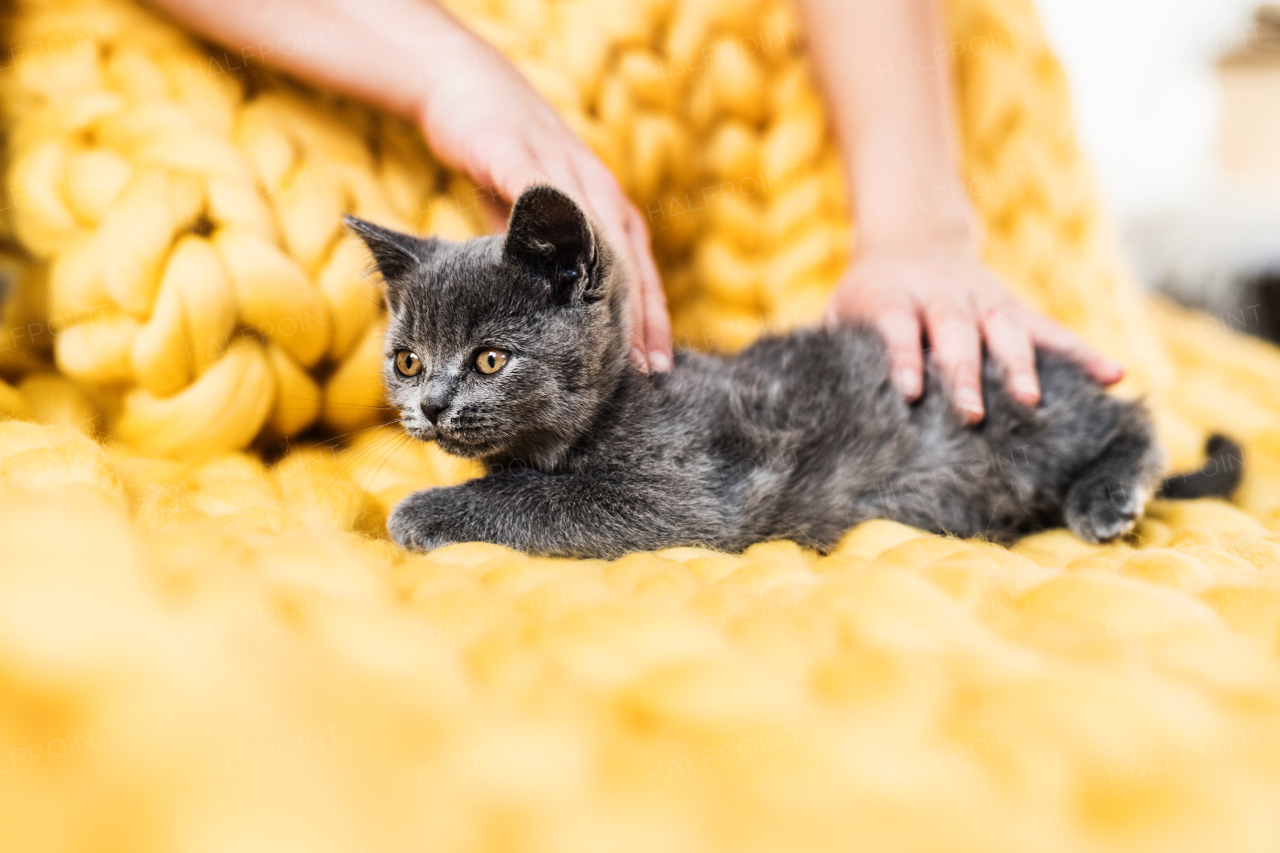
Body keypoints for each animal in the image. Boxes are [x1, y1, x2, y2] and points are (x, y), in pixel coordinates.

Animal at [345, 185, 1244, 558]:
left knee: (1137, 419)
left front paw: (425, 509)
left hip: (1023, 407)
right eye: (408, 360)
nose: (431, 405)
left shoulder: (683, 494)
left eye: (490, 358)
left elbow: (541, 499)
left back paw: (1105, 495)